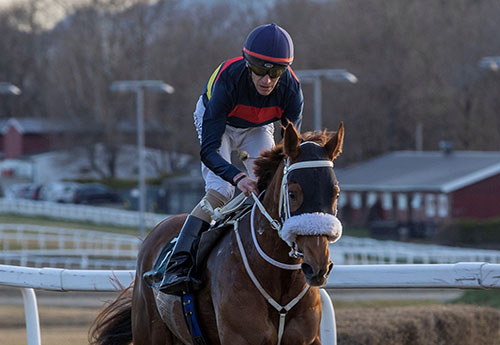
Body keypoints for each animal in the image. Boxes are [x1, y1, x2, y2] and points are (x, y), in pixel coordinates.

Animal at [90, 123, 344, 344]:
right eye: (292, 193)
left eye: (336, 193)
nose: (318, 266)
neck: (278, 279)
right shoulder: (240, 338)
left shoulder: (306, 339)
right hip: (150, 332)